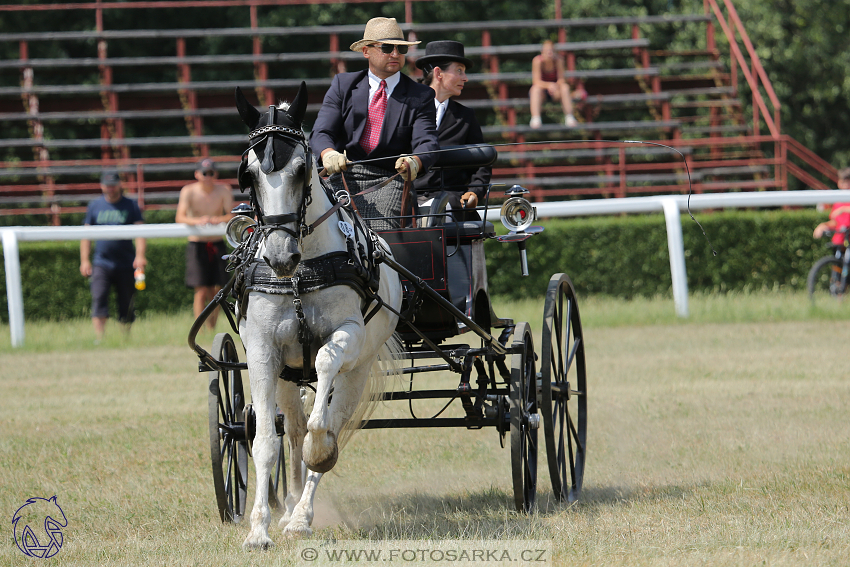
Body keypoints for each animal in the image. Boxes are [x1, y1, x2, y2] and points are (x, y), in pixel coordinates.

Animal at [234, 84, 402, 552]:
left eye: (300, 168)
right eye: (248, 174)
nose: (279, 257)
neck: (299, 276)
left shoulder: (349, 335)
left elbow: (324, 387)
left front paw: (320, 450)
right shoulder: (262, 353)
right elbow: (265, 443)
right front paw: (258, 529)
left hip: (358, 371)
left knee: (329, 421)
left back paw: (301, 516)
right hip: (288, 378)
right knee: (291, 431)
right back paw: (289, 506)